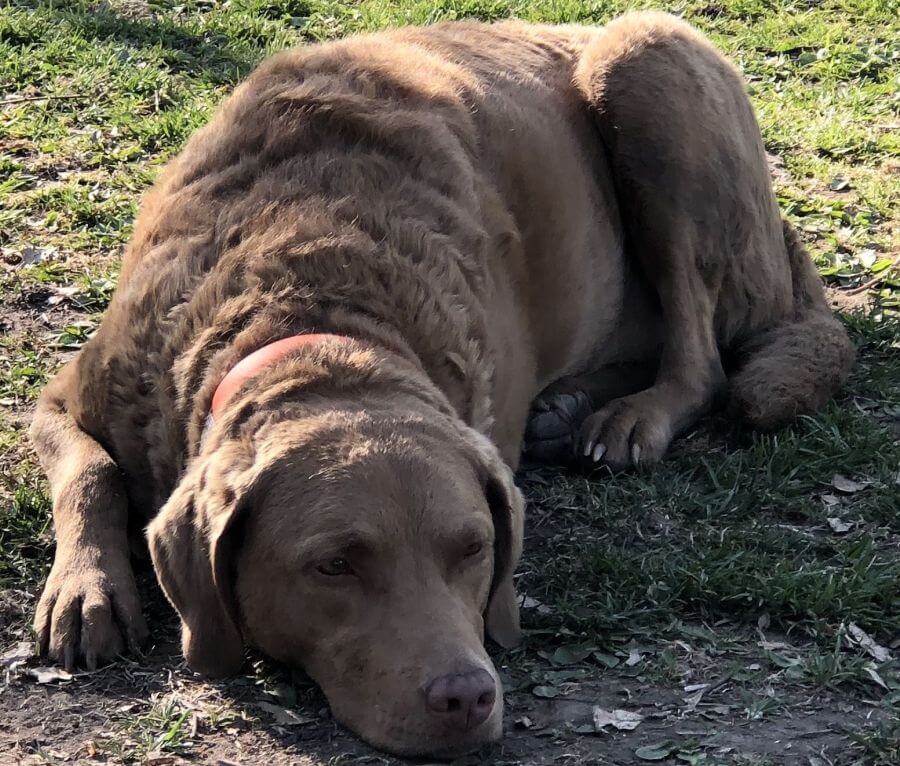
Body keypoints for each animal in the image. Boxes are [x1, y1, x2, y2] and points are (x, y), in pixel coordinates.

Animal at [31, 15, 856, 760]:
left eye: (474, 549)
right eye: (333, 565)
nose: (467, 695)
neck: (316, 315)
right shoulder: (68, 392)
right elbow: (91, 471)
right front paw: (86, 590)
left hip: (644, 67)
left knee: (703, 356)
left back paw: (629, 417)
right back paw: (567, 409)